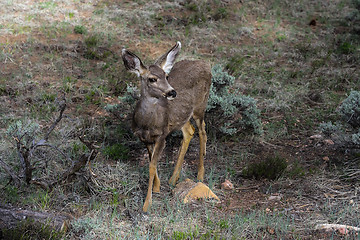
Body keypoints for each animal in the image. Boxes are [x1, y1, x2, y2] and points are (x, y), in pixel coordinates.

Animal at [121, 41, 211, 212]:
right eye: (152, 79)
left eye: (166, 76)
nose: (172, 92)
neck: (147, 124)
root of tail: (205, 64)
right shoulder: (145, 139)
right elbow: (152, 162)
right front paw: (157, 187)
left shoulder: (162, 136)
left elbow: (151, 166)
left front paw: (147, 204)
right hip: (183, 116)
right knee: (189, 131)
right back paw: (173, 179)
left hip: (200, 106)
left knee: (203, 132)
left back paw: (200, 175)